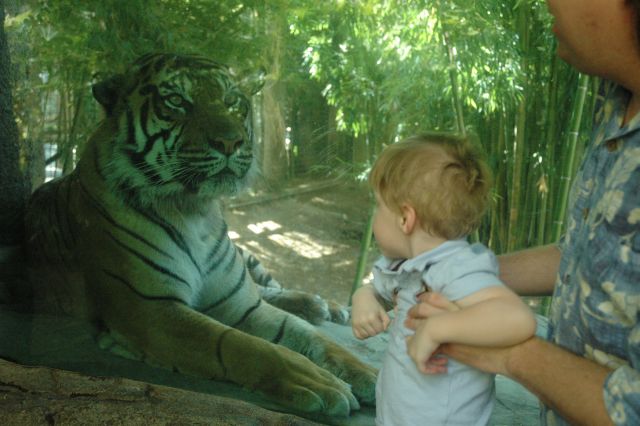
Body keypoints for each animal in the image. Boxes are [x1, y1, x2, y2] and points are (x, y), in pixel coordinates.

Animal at [24, 53, 376, 416]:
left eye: (232, 101)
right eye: (177, 102)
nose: (231, 141)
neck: (194, 211)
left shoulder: (243, 305)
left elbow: (312, 337)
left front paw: (369, 375)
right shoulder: (151, 310)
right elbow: (244, 345)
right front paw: (317, 381)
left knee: (271, 288)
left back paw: (325, 306)